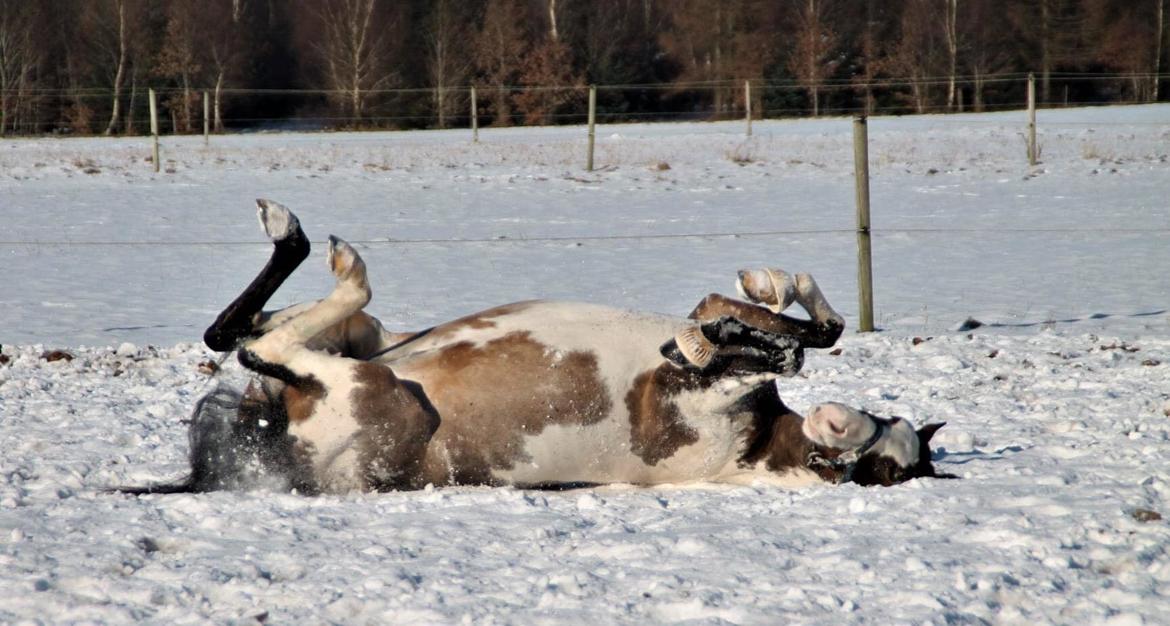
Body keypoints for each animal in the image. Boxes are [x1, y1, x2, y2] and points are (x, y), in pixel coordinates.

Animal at [128, 201, 950, 493]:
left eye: (882, 473)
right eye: (889, 437)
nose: (838, 428)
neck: (752, 445)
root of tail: (271, 440)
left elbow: (780, 348)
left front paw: (710, 339)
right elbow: (801, 329)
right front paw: (755, 300)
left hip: (368, 385)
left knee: (260, 346)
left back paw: (320, 248)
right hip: (371, 344)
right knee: (237, 333)